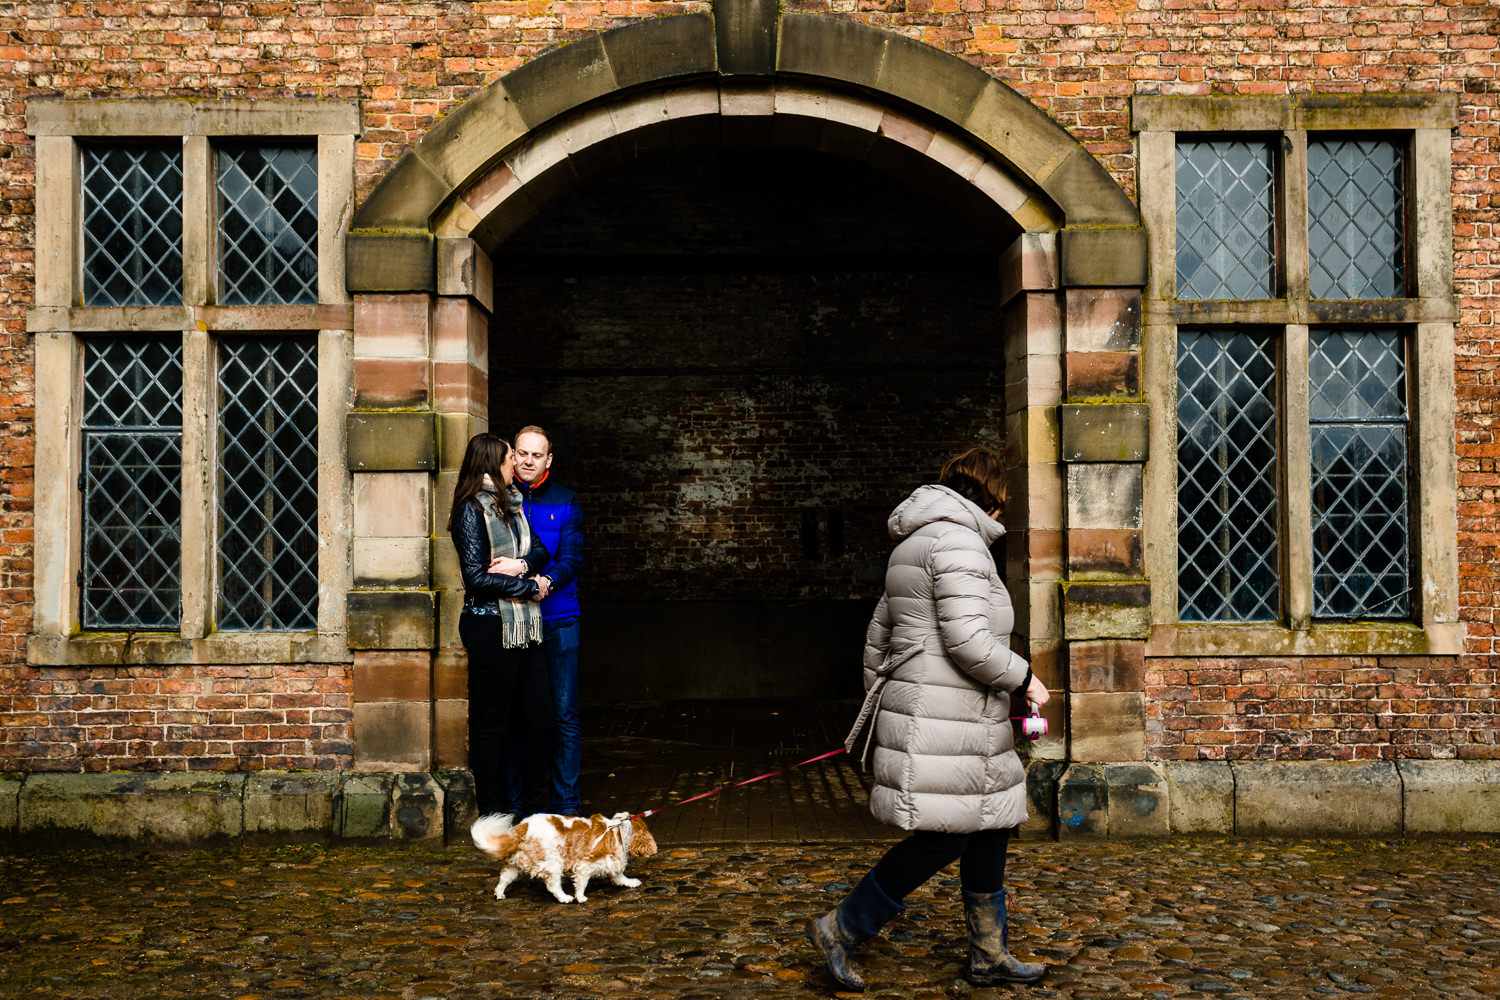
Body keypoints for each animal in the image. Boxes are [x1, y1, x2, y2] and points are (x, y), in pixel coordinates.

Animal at [468, 815, 657, 905]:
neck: (619, 830)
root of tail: (522, 828)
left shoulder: (612, 864)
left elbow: (620, 877)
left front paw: (631, 882)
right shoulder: (585, 865)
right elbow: (581, 883)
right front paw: (580, 897)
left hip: (516, 863)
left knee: (503, 878)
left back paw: (499, 894)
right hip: (553, 862)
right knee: (553, 886)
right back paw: (565, 898)